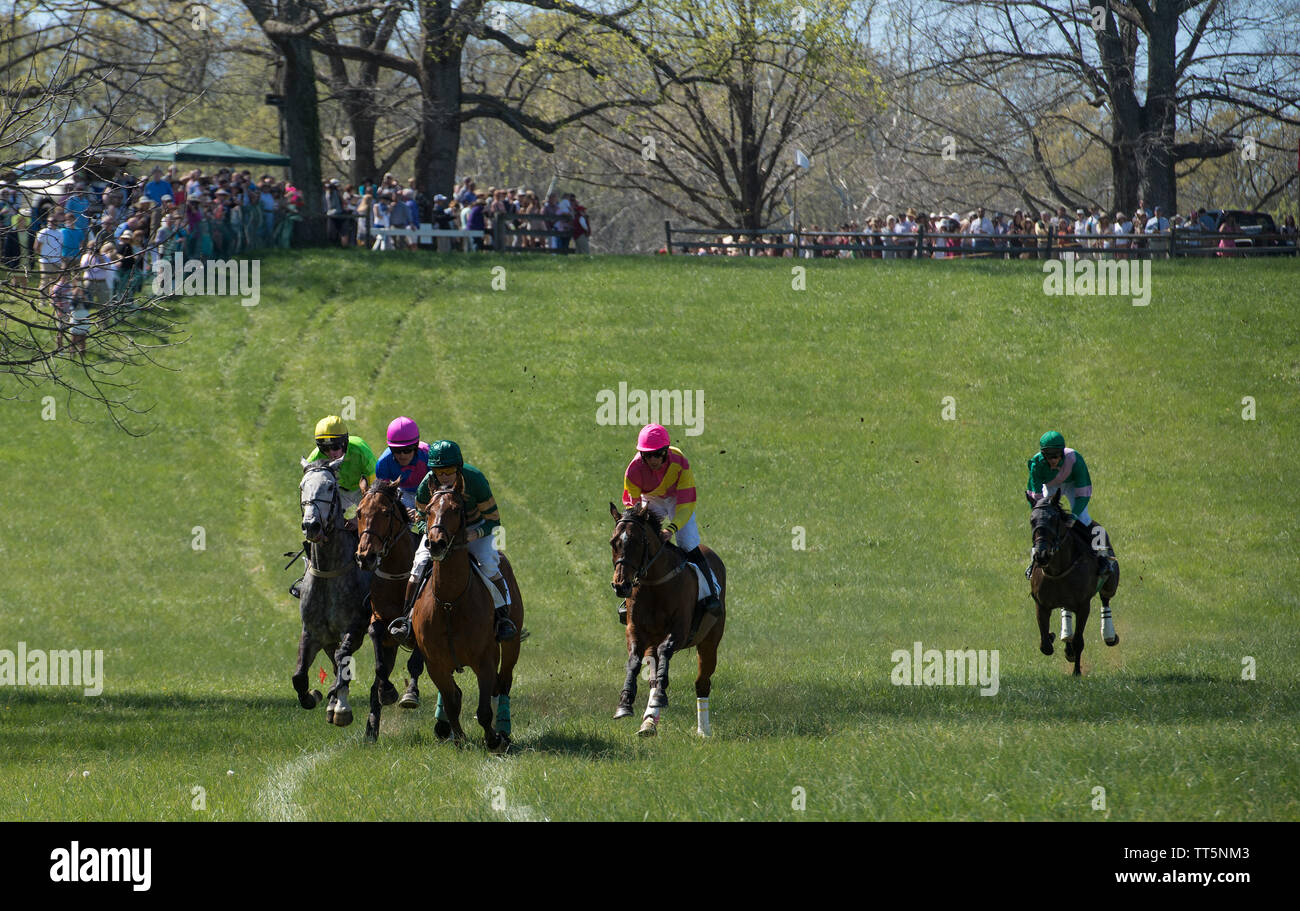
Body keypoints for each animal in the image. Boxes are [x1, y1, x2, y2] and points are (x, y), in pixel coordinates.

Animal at [293, 457, 374, 727]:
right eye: (301, 486)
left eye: (330, 487)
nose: (311, 525)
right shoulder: (313, 632)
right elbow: (299, 676)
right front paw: (315, 696)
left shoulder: (355, 627)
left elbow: (343, 660)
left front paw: (340, 707)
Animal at [356, 480, 431, 743]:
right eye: (359, 512)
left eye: (386, 513)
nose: (366, 556)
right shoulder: (381, 625)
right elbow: (379, 663)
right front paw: (386, 691)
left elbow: (416, 662)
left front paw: (410, 695)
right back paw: (370, 730)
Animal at [410, 480, 522, 748]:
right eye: (428, 510)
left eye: (455, 509)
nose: (436, 543)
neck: (450, 602)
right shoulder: (435, 663)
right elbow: (453, 701)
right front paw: (459, 739)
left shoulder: (485, 660)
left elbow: (484, 709)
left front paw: (493, 738)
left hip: (511, 644)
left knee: (503, 684)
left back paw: (503, 729)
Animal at [605, 501, 722, 738]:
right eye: (614, 542)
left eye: (637, 541)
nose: (621, 585)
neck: (655, 583)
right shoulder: (635, 628)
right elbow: (634, 660)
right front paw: (625, 703)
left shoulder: (680, 629)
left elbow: (665, 650)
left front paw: (661, 694)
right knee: (652, 672)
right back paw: (648, 723)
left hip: (710, 640)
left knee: (702, 682)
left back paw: (703, 731)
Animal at [1029, 491, 1123, 675]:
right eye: (1032, 520)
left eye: (1054, 519)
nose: (1041, 555)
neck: (1058, 571)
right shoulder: (1041, 605)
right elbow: (1045, 646)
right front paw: (1054, 638)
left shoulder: (1083, 605)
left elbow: (1079, 641)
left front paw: (1076, 672)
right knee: (1066, 612)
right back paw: (1066, 637)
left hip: (1110, 584)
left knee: (1105, 599)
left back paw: (1109, 635)